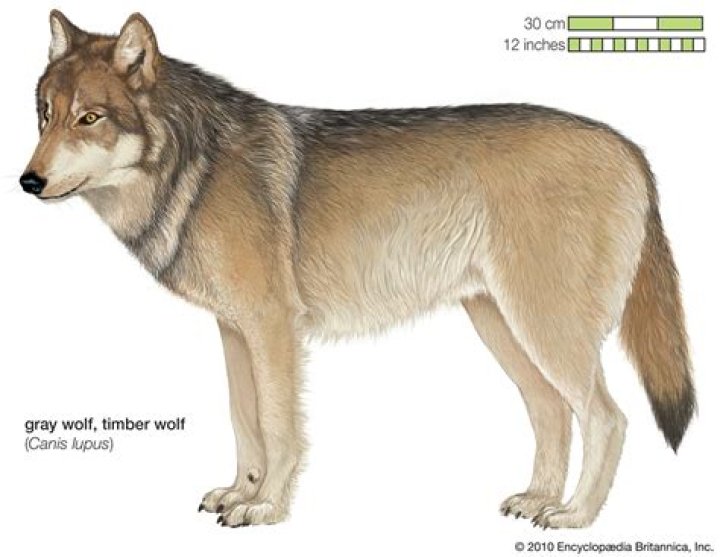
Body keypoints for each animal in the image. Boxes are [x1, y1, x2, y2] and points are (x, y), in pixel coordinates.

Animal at [21, 11, 695, 529]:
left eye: (89, 118)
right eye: (45, 114)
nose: (28, 181)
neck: (195, 165)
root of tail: (630, 147)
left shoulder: (273, 327)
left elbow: (278, 427)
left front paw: (265, 509)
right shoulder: (234, 330)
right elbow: (245, 424)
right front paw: (240, 492)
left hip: (544, 330)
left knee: (608, 418)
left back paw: (575, 516)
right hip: (503, 328)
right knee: (553, 412)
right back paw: (537, 500)